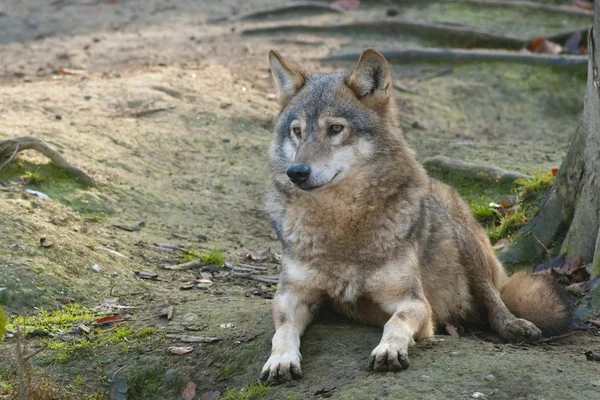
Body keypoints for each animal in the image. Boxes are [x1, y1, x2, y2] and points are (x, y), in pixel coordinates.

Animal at [260, 49, 568, 384]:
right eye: (298, 131)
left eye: (335, 129)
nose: (296, 172)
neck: (341, 223)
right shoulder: (291, 295)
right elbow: (283, 329)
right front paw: (280, 360)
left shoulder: (415, 301)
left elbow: (396, 321)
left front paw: (389, 350)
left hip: (463, 237)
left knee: (494, 298)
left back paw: (514, 326)